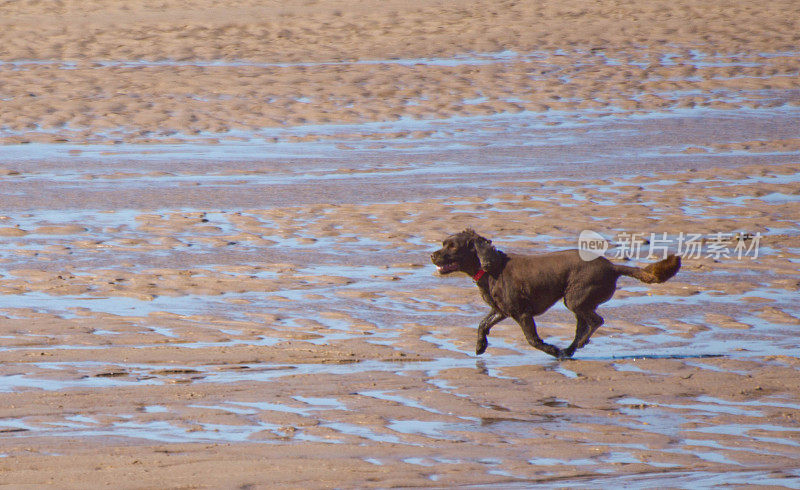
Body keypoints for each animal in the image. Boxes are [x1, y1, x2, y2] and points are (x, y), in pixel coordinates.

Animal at [432, 230, 680, 360]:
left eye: (452, 246)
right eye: (443, 243)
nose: (432, 255)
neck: (492, 269)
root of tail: (612, 266)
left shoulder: (522, 313)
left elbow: (532, 339)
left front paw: (551, 349)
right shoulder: (501, 310)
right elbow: (482, 324)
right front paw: (480, 345)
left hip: (575, 299)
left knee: (596, 321)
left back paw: (571, 348)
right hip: (578, 302)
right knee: (584, 325)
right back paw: (570, 349)